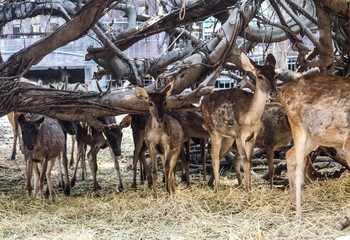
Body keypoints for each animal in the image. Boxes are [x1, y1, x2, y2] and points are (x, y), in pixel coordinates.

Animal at [201, 52, 278, 191]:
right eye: (260, 76)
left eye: (276, 75)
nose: (273, 93)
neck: (250, 119)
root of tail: (202, 102)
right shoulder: (239, 135)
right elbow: (245, 162)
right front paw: (247, 191)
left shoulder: (252, 137)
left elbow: (250, 162)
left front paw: (250, 188)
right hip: (213, 131)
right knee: (213, 155)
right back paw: (217, 188)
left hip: (227, 137)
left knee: (218, 155)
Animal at [278, 74, 350, 222]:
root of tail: (282, 90)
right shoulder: (348, 141)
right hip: (298, 127)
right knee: (299, 166)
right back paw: (298, 215)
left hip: (313, 138)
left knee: (290, 155)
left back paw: (292, 203)